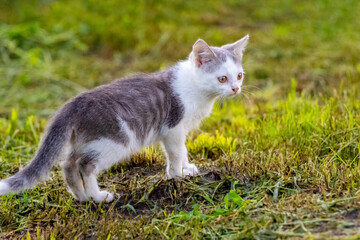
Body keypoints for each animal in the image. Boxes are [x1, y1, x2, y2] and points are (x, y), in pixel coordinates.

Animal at [0, 34, 248, 202]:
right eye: (222, 78)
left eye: (239, 75)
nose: (236, 89)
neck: (197, 90)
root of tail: (73, 103)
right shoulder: (174, 128)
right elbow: (176, 153)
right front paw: (177, 175)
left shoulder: (180, 130)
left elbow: (184, 151)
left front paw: (188, 168)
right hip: (113, 141)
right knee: (84, 165)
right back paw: (98, 196)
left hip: (88, 140)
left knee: (68, 164)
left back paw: (82, 198)